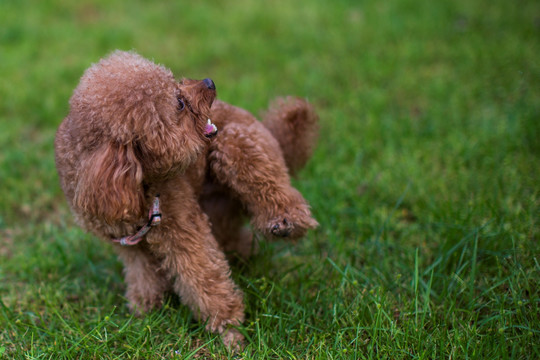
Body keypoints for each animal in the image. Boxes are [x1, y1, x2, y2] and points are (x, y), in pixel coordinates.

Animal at [54, 50, 316, 346]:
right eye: (179, 103)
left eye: (174, 83)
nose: (209, 82)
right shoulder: (128, 245)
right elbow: (143, 273)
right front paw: (146, 308)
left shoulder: (181, 228)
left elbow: (202, 274)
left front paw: (226, 324)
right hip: (219, 210)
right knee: (239, 239)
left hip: (241, 143)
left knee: (271, 185)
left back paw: (285, 222)